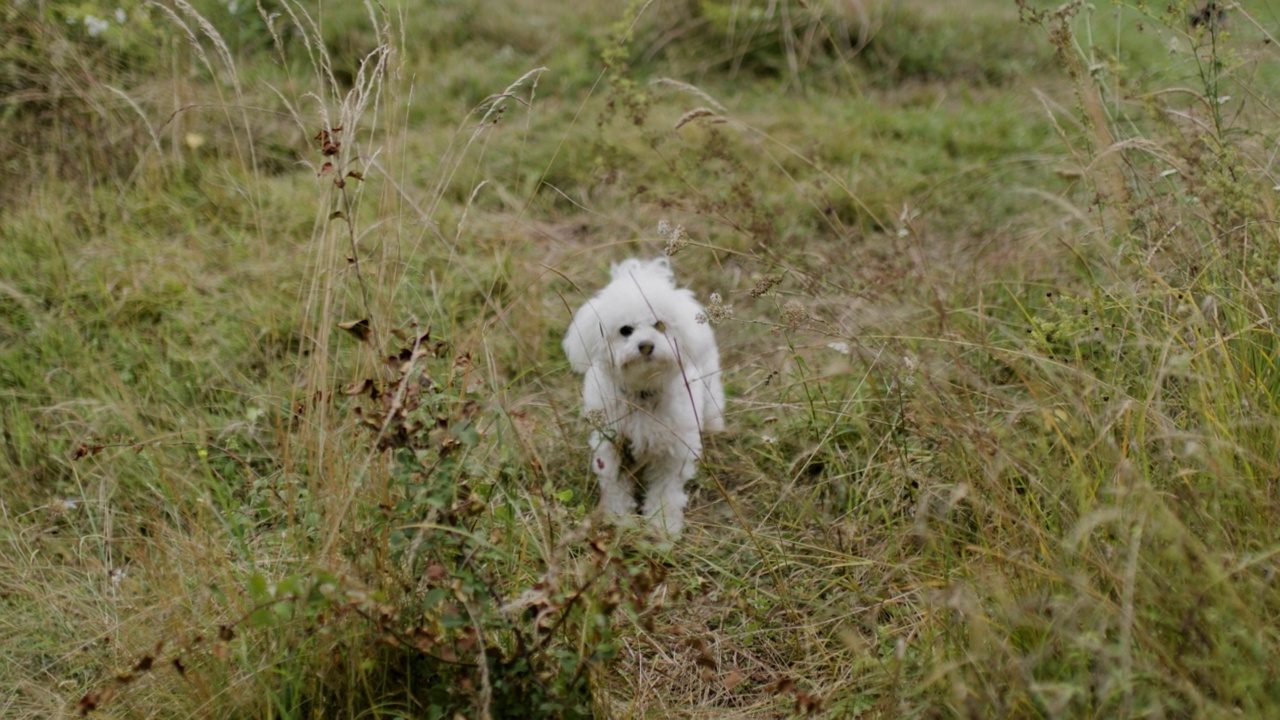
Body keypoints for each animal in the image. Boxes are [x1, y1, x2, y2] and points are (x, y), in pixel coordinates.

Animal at [565, 256, 727, 532]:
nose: (646, 345)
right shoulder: (611, 445)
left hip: (709, 381)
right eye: (625, 330)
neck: (642, 392)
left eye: (660, 325)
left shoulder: (673, 451)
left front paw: (663, 526)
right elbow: (616, 487)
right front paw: (618, 517)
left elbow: (665, 492)